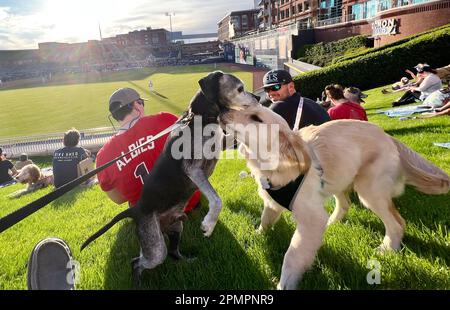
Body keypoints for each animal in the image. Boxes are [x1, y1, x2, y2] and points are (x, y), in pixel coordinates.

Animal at [80, 71, 256, 284]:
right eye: (240, 89)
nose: (258, 97)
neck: (199, 119)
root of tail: (135, 210)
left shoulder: (220, 145)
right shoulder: (194, 170)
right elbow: (216, 199)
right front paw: (209, 224)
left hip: (176, 227)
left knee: (172, 253)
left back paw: (187, 261)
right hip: (156, 248)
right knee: (136, 262)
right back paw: (138, 282)